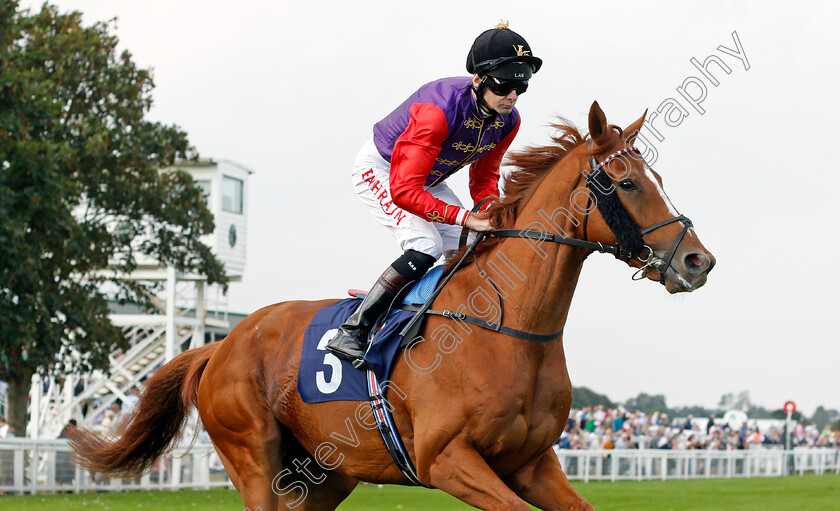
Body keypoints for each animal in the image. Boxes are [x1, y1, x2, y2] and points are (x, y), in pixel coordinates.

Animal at [70, 102, 716, 510]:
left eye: (657, 177)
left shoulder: (532, 463)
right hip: (253, 459)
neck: (508, 327)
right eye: (627, 183)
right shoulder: (446, 460)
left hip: (323, 475)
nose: (697, 261)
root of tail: (222, 344)